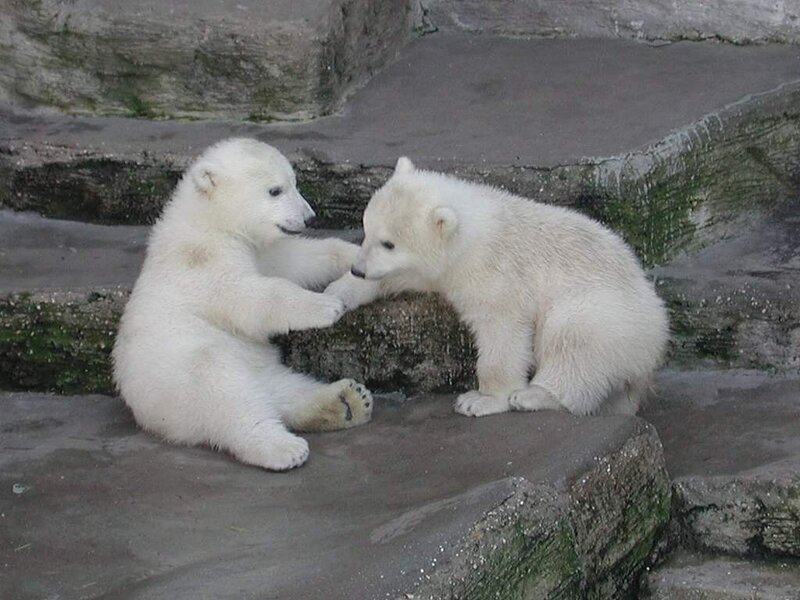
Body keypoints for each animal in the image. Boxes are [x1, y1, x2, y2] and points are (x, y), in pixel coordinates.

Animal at [113, 138, 372, 471]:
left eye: (294, 183)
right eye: (275, 190)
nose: (309, 217)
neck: (208, 220)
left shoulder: (260, 249)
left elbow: (296, 261)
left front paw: (358, 255)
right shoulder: (203, 262)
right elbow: (247, 296)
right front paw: (326, 305)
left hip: (260, 368)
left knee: (283, 390)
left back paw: (349, 402)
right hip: (180, 378)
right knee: (226, 394)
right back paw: (282, 447)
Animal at [324, 157, 669, 417]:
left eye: (389, 243)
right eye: (366, 228)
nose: (358, 268)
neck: (475, 231)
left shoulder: (495, 273)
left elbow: (502, 331)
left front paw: (482, 399)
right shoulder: (444, 269)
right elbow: (408, 275)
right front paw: (338, 292)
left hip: (609, 313)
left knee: (574, 338)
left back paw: (536, 396)